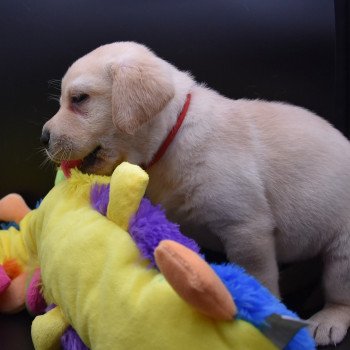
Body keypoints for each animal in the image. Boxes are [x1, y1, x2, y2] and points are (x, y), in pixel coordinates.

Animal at [41, 41, 350, 344]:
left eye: (79, 99)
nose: (43, 137)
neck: (172, 136)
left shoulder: (246, 228)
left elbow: (257, 275)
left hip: (343, 250)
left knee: (339, 290)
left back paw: (328, 320)